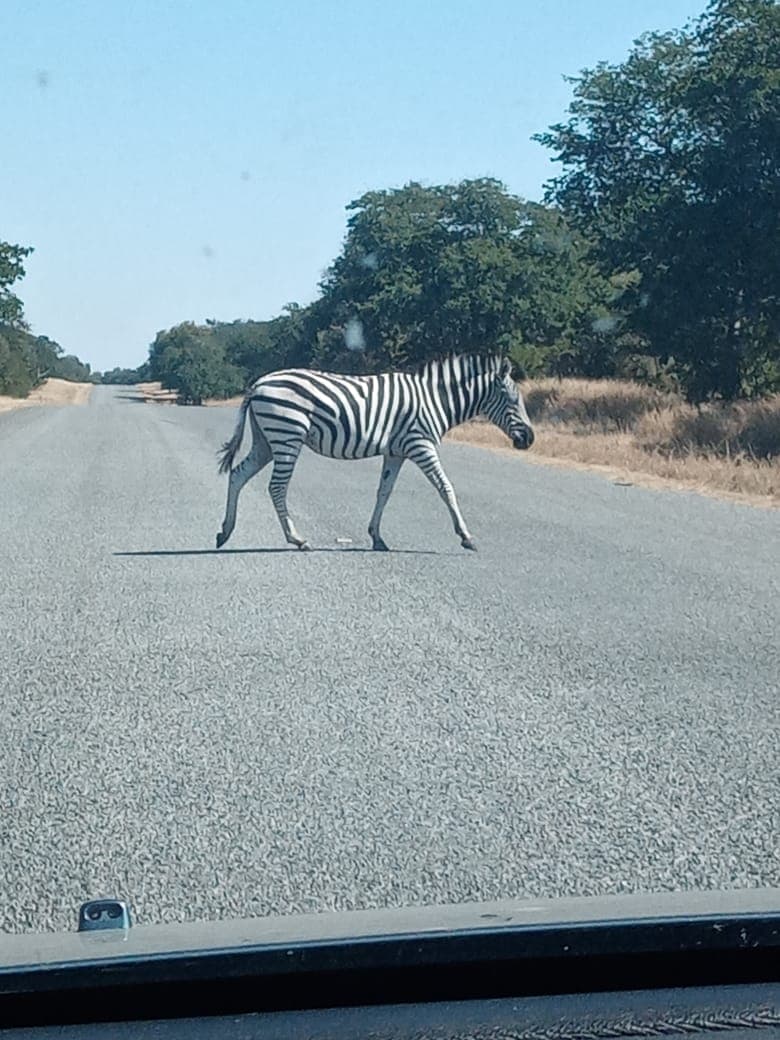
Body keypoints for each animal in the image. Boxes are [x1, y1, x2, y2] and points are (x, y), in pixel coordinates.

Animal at [215, 352, 534, 552]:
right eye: (512, 399)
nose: (529, 440)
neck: (434, 400)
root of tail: (257, 384)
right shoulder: (420, 444)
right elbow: (445, 487)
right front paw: (466, 537)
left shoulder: (396, 452)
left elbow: (384, 492)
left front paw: (377, 537)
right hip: (286, 436)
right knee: (277, 487)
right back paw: (298, 539)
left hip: (266, 441)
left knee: (238, 474)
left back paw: (225, 531)